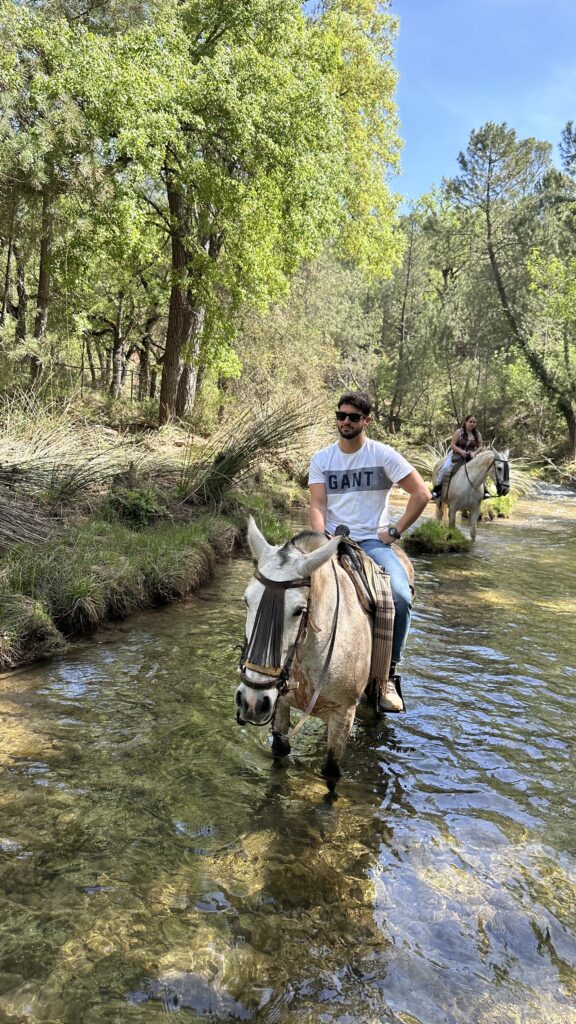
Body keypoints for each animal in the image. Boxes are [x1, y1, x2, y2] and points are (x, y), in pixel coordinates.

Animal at [235, 516, 409, 778]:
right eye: (247, 600)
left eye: (299, 611)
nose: (252, 702)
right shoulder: (281, 706)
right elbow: (280, 755)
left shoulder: (343, 714)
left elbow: (331, 771)